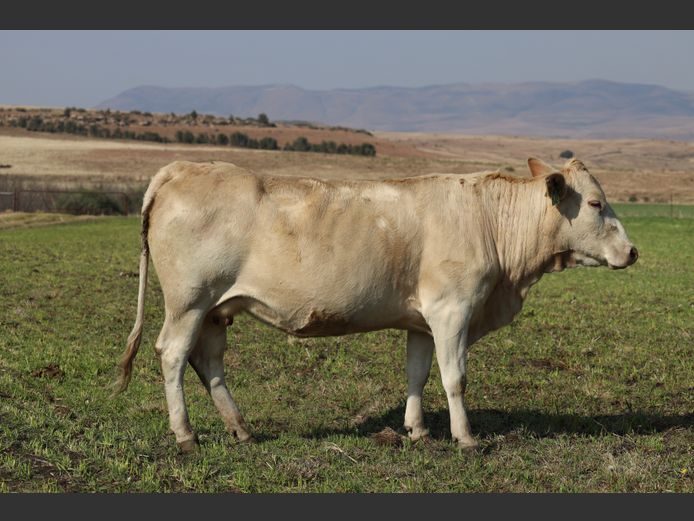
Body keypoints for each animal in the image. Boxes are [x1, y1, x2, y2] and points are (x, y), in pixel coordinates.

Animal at [114, 157, 638, 453]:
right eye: (595, 204)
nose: (632, 251)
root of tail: (184, 168)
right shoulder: (452, 309)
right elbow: (455, 377)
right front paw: (466, 439)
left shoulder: (423, 321)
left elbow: (418, 374)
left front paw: (417, 431)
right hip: (188, 302)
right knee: (173, 355)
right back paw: (186, 435)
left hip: (216, 310)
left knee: (209, 364)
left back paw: (241, 429)